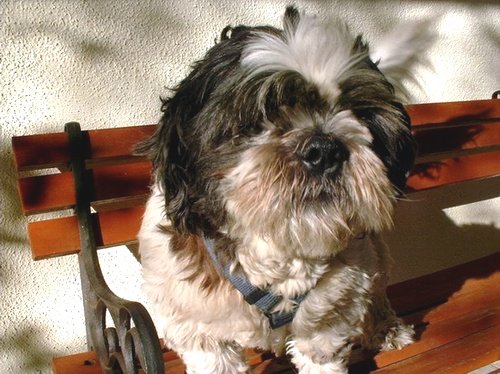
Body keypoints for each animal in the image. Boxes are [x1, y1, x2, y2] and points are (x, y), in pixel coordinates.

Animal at [136, 6, 430, 374]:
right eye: (262, 116)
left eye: (361, 116)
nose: (324, 149)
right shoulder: (198, 331)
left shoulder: (327, 321)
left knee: (377, 293)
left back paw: (387, 328)